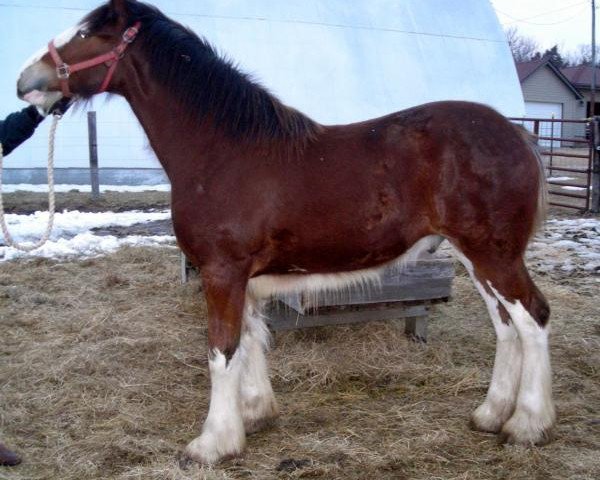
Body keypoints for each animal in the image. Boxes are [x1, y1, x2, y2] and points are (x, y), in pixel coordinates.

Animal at [16, 0, 556, 464]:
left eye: (87, 33)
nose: (25, 80)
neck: (221, 152)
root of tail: (520, 135)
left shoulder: (222, 272)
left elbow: (222, 351)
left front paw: (212, 443)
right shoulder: (244, 278)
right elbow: (252, 339)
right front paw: (254, 415)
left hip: (493, 255)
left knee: (532, 319)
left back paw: (527, 424)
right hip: (476, 258)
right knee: (505, 327)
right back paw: (490, 414)